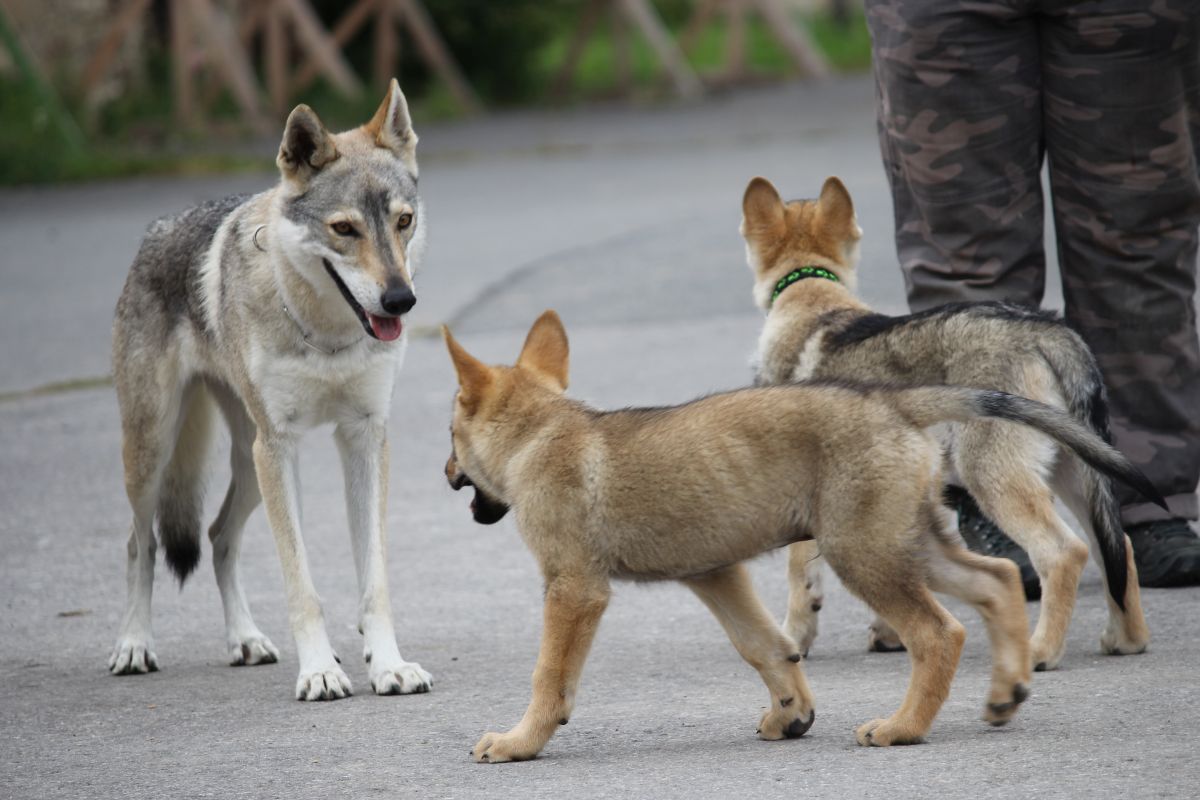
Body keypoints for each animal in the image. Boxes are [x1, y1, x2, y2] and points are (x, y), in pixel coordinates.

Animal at [109, 81, 432, 700]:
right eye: (344, 229)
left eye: (403, 221)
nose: (400, 301)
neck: (327, 335)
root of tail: (155, 229)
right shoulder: (279, 446)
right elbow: (301, 584)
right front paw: (321, 673)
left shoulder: (364, 438)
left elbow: (374, 580)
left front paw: (388, 665)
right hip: (160, 454)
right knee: (142, 543)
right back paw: (134, 644)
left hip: (248, 464)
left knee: (217, 536)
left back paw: (246, 640)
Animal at [444, 311, 1152, 758]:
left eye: (450, 437)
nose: (447, 475)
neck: (543, 434)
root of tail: (895, 403)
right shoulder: (715, 573)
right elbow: (768, 647)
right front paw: (792, 715)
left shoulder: (575, 589)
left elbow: (549, 677)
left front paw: (520, 742)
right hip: (903, 543)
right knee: (1001, 578)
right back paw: (1007, 692)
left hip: (863, 553)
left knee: (940, 631)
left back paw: (903, 728)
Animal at [739, 175, 1161, 671]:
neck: (812, 301)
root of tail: (1050, 329)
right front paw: (890, 636)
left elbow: (800, 585)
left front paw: (794, 643)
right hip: (1076, 475)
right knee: (1117, 548)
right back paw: (1127, 639)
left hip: (992, 476)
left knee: (1063, 553)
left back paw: (1039, 652)